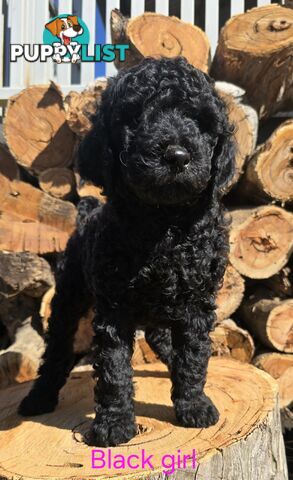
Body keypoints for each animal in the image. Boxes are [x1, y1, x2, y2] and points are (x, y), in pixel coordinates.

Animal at [18, 58, 234, 448]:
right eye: (135, 116)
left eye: (200, 121)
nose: (177, 155)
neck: (163, 223)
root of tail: (86, 213)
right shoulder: (113, 308)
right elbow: (114, 368)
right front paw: (114, 424)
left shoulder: (196, 302)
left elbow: (193, 356)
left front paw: (194, 405)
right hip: (69, 295)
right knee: (57, 349)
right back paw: (39, 398)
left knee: (159, 336)